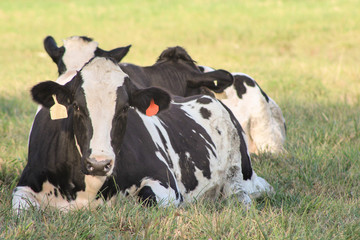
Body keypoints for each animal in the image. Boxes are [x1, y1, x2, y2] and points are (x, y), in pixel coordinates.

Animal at [11, 56, 272, 212]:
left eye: (125, 108)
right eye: (76, 106)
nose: (99, 163)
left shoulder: (165, 183)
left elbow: (148, 197)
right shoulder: (24, 186)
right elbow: (21, 209)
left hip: (239, 175)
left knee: (242, 194)